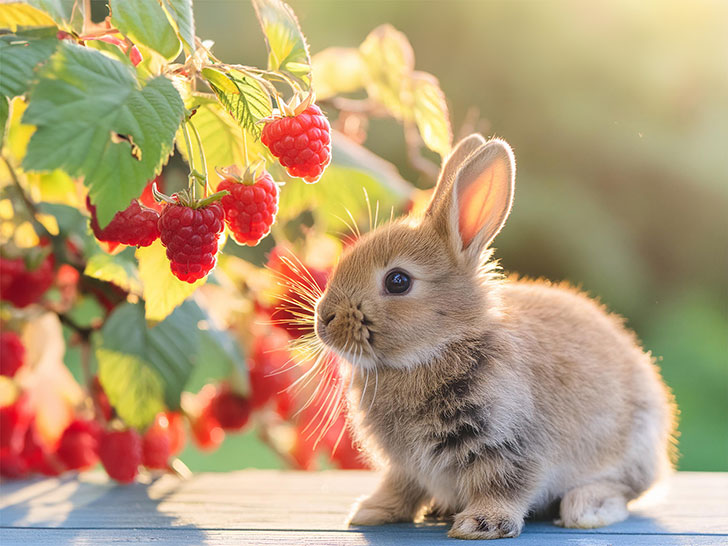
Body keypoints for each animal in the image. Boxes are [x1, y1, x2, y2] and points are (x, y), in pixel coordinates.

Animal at [312, 134, 676, 536]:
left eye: (398, 281)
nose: (323, 319)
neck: (438, 348)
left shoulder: (510, 442)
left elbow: (502, 485)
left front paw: (480, 524)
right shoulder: (405, 466)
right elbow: (401, 487)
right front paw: (372, 511)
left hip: (631, 448)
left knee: (623, 490)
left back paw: (586, 510)